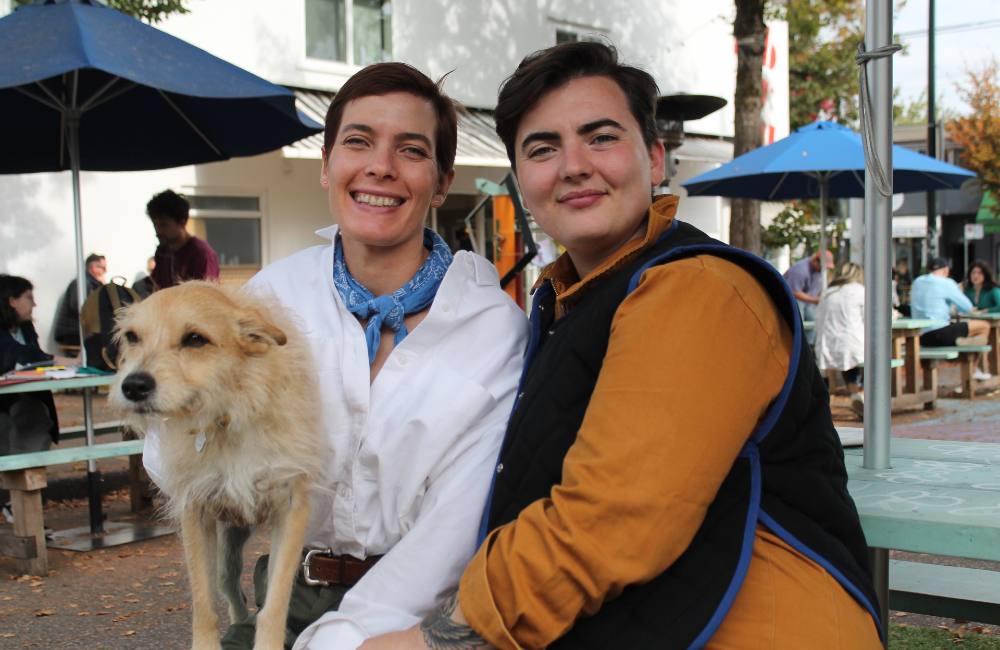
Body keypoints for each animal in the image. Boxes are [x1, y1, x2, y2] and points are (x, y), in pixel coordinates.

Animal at [111, 280, 326, 648]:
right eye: (132, 337)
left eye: (195, 338)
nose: (134, 386)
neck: (226, 414)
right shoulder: (195, 511)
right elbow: (203, 603)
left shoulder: (290, 507)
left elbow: (274, 604)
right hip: (230, 543)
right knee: (229, 588)